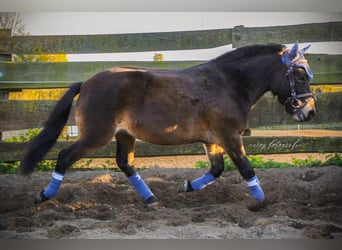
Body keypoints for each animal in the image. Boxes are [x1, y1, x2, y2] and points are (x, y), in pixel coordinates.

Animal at [20, 42, 316, 207]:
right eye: (301, 75)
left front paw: (186, 186)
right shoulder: (230, 136)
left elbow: (217, 169)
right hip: (95, 136)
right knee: (63, 157)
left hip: (125, 135)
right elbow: (246, 168)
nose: (310, 111)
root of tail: (86, 83)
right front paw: (261, 202)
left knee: (125, 163)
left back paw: (151, 199)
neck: (229, 84)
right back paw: (42, 196)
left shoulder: (212, 140)